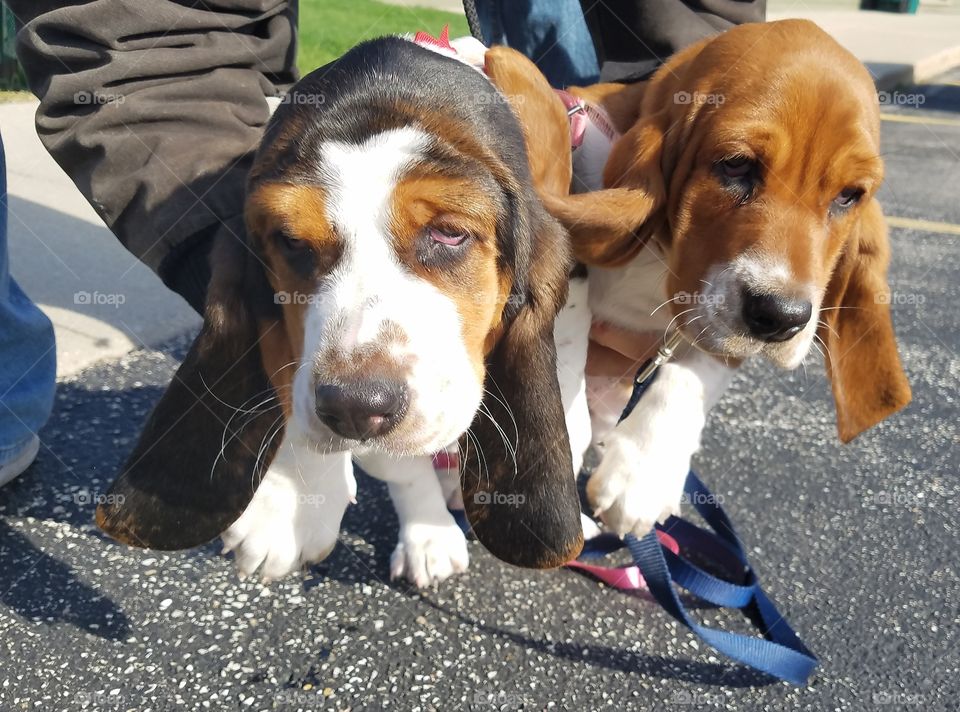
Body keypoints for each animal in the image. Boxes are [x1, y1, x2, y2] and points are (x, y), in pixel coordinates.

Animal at [484, 18, 912, 540]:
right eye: (736, 165)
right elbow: (563, 335)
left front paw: (642, 475)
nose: (781, 317)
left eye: (850, 196)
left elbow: (696, 372)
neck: (663, 259)